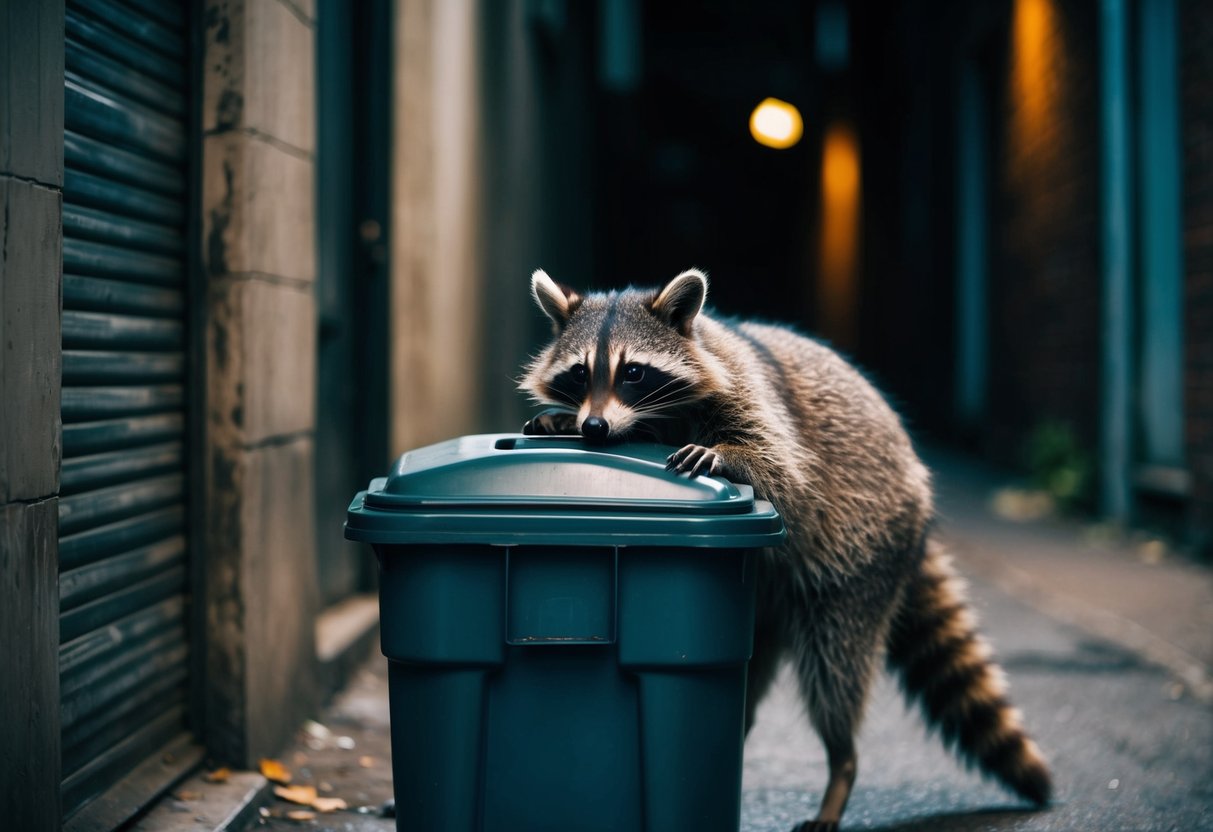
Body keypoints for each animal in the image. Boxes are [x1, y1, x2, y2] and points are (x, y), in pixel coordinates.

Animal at [518, 268, 1052, 831]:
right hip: (761, 609)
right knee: (746, 690)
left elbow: (784, 469)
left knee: (835, 673)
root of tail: (920, 496)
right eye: (579, 374)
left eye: (634, 372)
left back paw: (842, 762)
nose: (594, 428)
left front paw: (727, 455)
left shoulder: (751, 393)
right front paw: (559, 419)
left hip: (857, 562)